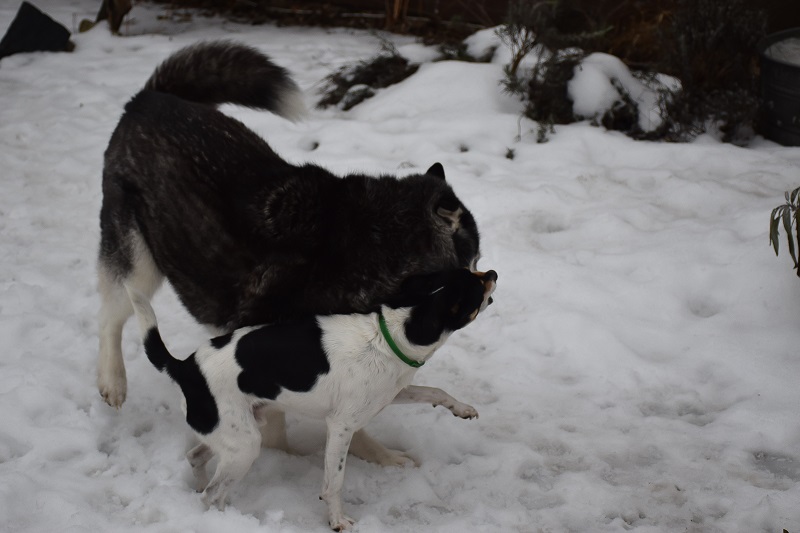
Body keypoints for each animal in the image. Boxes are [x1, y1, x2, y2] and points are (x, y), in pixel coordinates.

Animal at [97, 41, 482, 464]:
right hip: (138, 259)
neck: (372, 244)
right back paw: (113, 380)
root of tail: (148, 98)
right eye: (473, 263)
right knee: (113, 314)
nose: (491, 280)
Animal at [125, 268, 497, 530]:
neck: (388, 335)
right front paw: (337, 521)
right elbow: (334, 482)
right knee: (212, 494)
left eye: (473, 273)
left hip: (235, 432)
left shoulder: (391, 393)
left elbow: (435, 391)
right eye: (476, 286)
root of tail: (184, 366)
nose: (492, 273)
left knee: (196, 458)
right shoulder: (341, 426)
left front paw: (462, 409)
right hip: (245, 445)